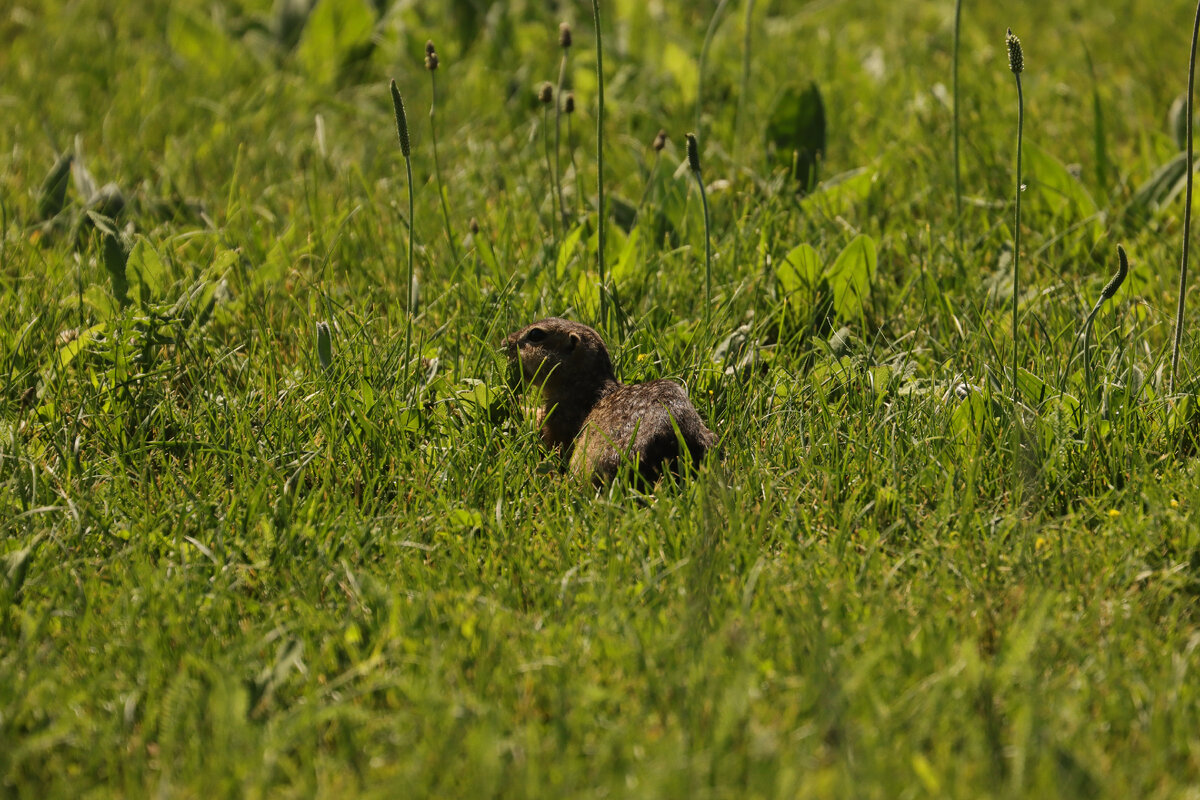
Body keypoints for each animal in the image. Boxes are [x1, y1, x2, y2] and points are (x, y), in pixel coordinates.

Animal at [504, 316, 715, 482]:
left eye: (535, 335)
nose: (505, 342)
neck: (586, 382)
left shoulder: (558, 415)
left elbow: (545, 433)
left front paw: (515, 404)